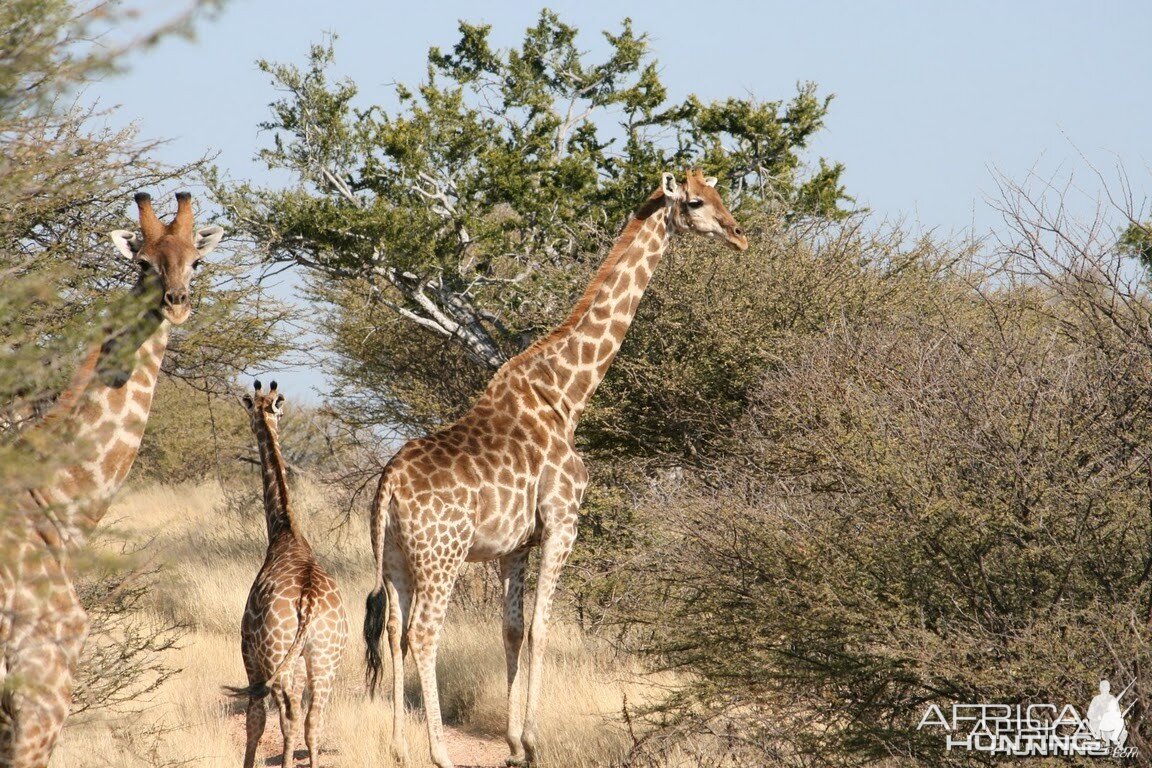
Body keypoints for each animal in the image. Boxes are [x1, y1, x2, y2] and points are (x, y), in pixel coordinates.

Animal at [226, 382, 345, 768]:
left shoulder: (249, 652)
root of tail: (307, 605)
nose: (256, 421)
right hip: (325, 658)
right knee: (313, 720)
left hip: (277, 655)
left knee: (288, 715)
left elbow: (255, 720)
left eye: (251, 409)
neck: (284, 531)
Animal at [364, 171, 751, 764]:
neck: (567, 394)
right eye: (694, 203)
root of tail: (389, 483)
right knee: (423, 634)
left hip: (395, 559)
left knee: (392, 629)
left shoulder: (513, 546)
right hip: (442, 557)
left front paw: (512, 743)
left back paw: (400, 748)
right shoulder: (563, 522)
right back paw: (439, 753)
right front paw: (533, 739)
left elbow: (512, 629)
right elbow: (544, 628)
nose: (738, 235)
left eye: (718, 194)